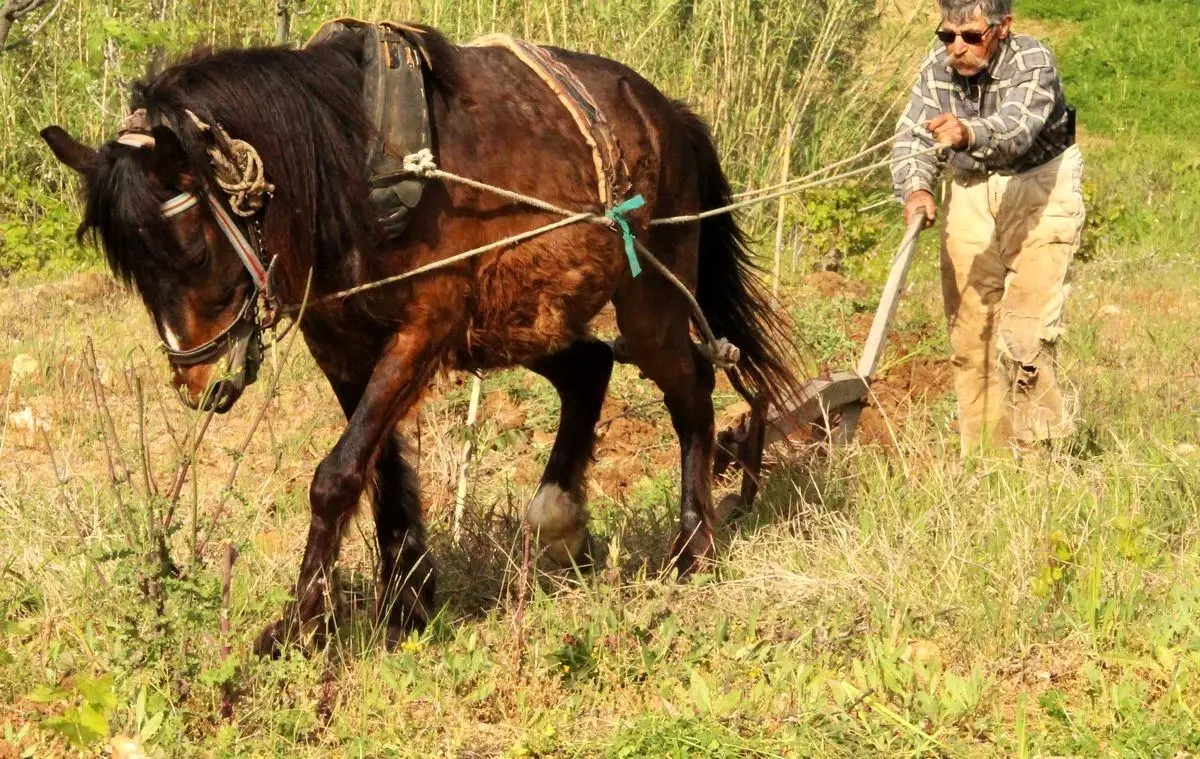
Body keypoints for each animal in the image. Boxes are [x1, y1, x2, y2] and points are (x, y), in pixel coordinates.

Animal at [42, 22, 801, 653]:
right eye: (134, 270)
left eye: (193, 248)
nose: (200, 381)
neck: (355, 166)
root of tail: (669, 112)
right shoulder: (343, 346)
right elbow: (377, 473)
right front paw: (407, 601)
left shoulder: (424, 329)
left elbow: (335, 476)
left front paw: (300, 626)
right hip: (519, 318)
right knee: (588, 367)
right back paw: (559, 521)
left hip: (647, 300)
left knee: (690, 390)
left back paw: (692, 546)